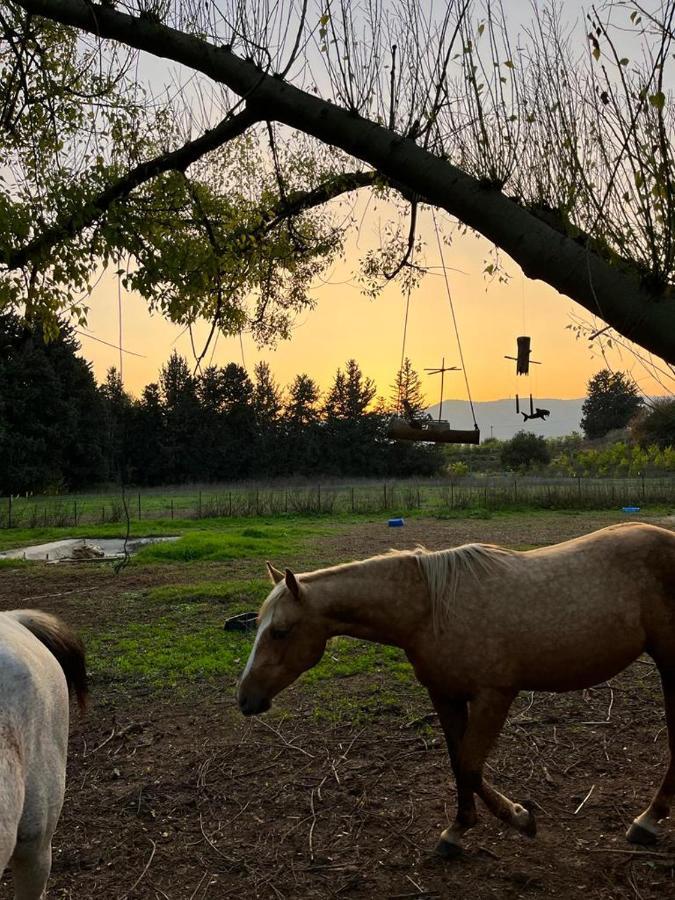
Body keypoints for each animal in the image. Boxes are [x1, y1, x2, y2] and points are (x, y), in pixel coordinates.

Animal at [239, 520, 675, 856]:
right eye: (258, 625)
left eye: (280, 632)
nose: (245, 698)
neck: (429, 610)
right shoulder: (445, 695)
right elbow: (458, 763)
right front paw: (460, 828)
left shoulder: (493, 697)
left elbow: (469, 765)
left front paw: (519, 818)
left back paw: (647, 821)